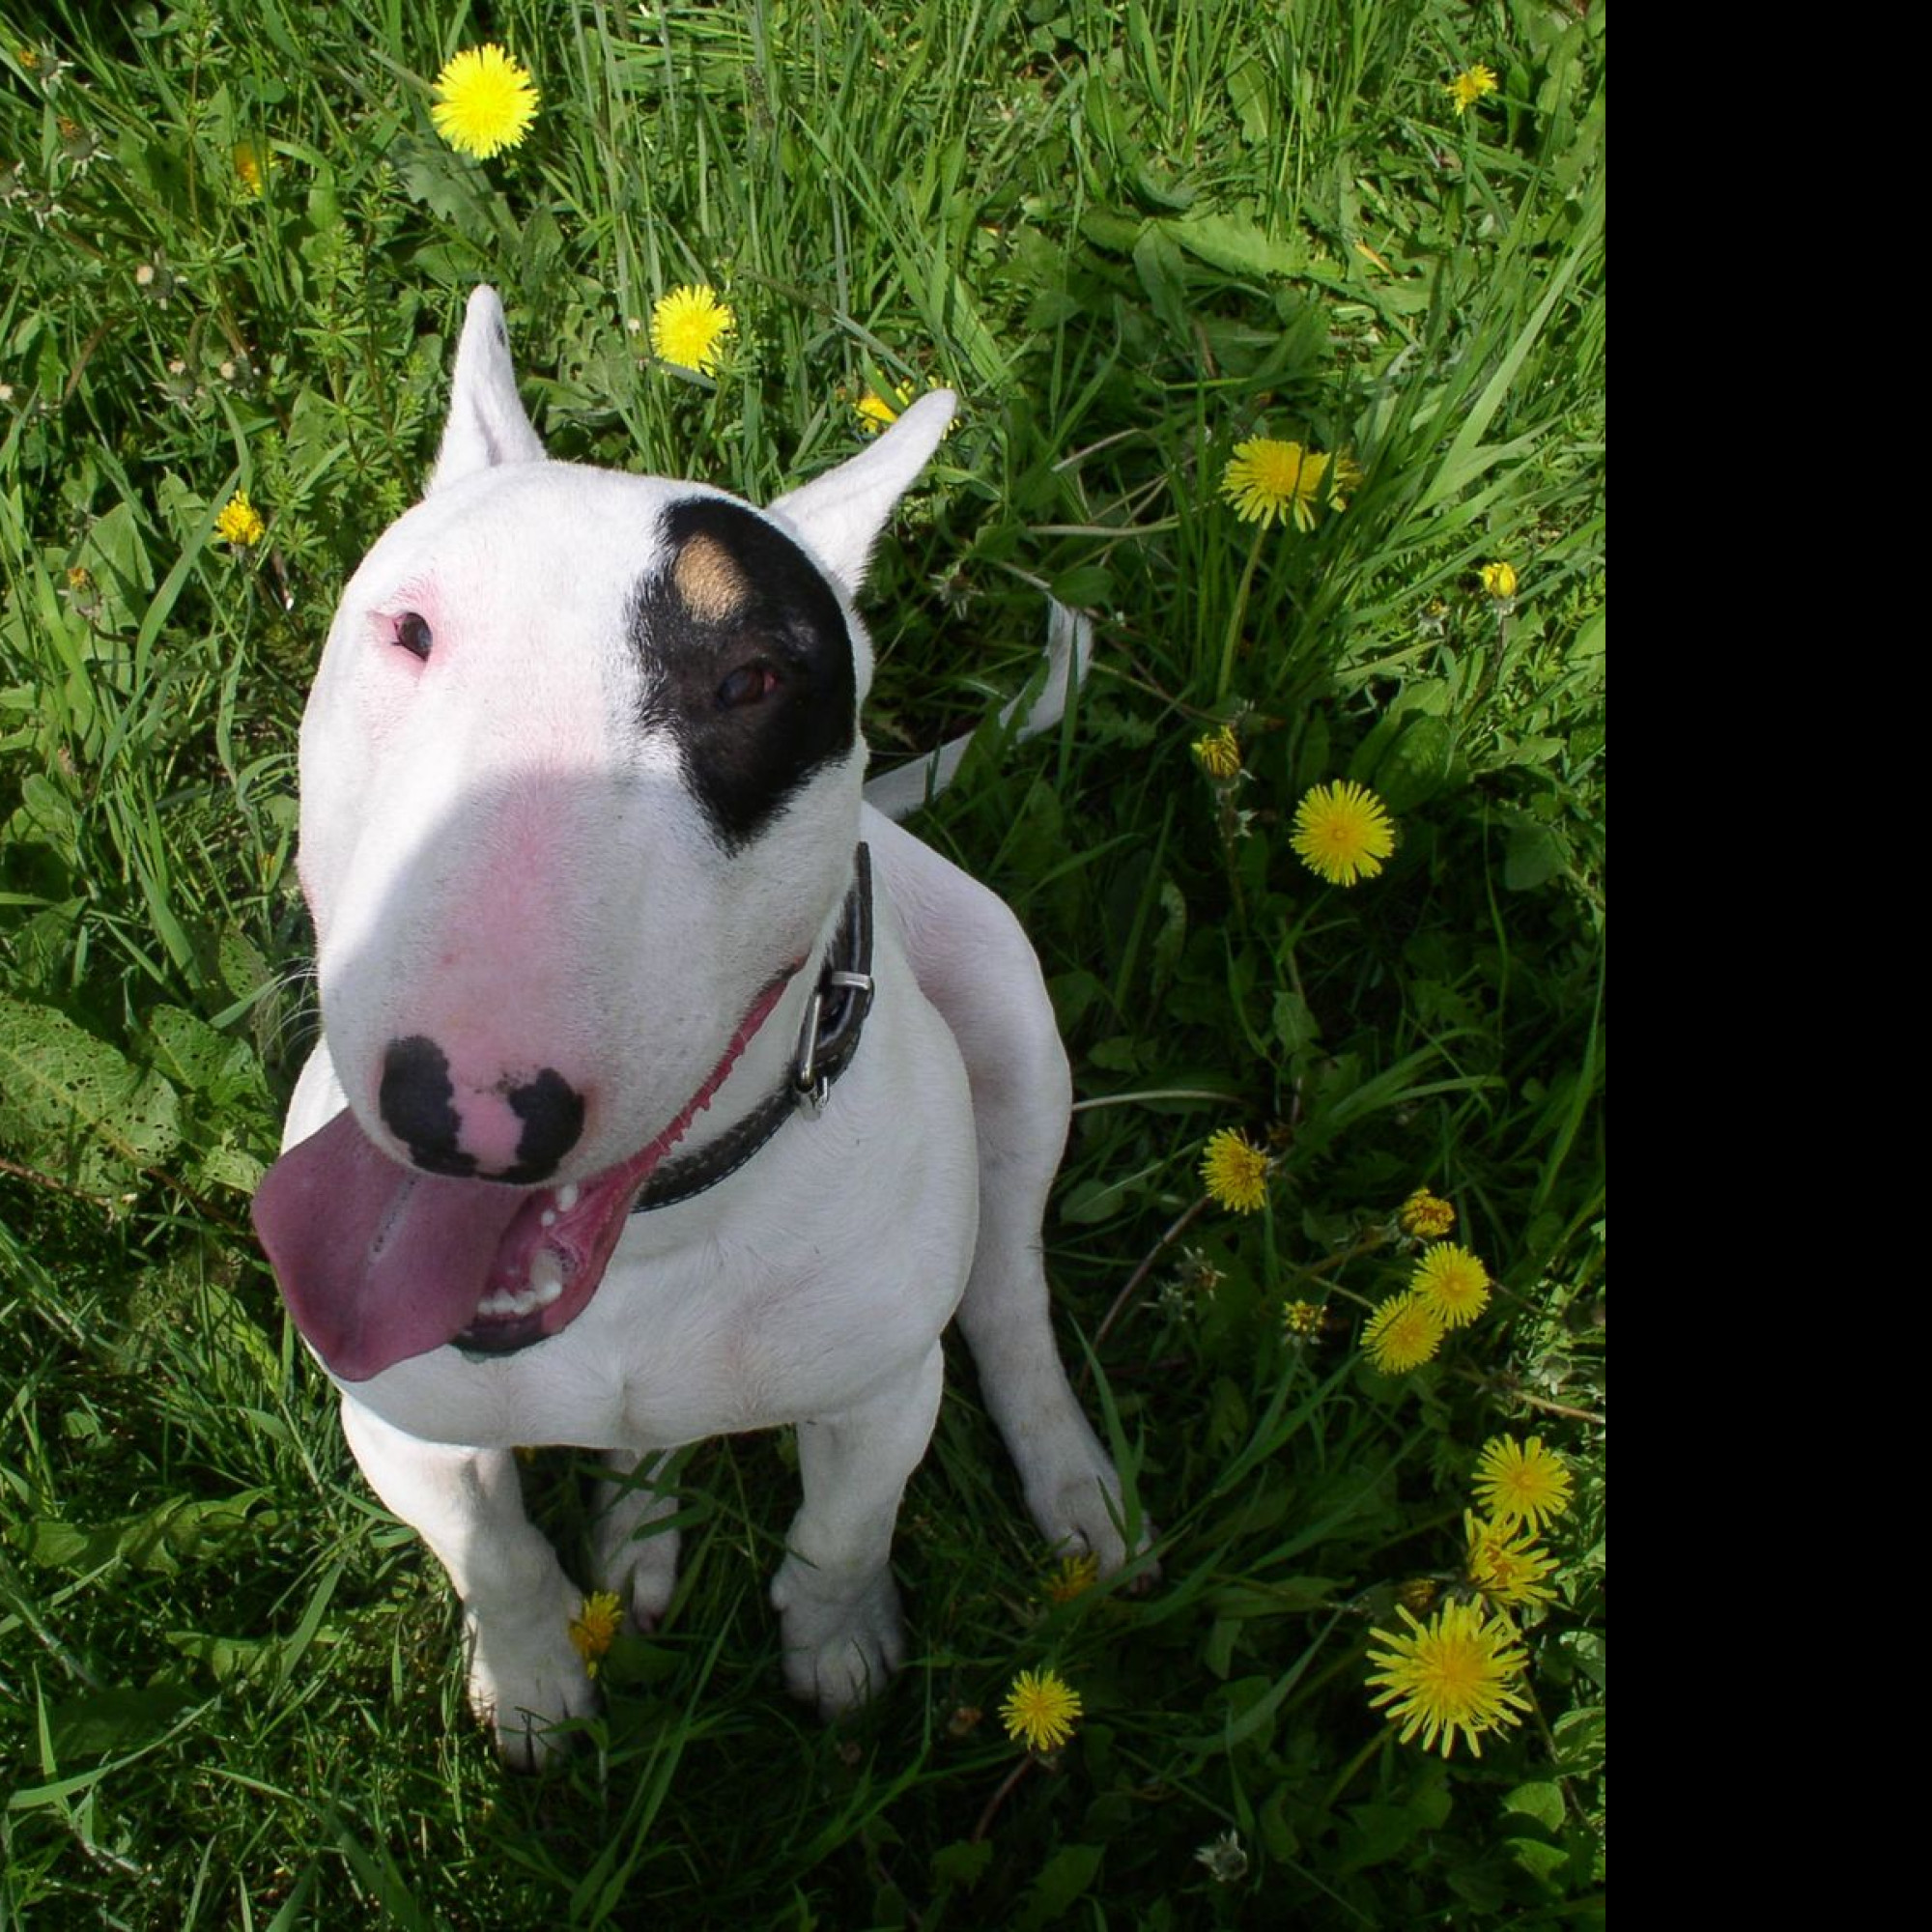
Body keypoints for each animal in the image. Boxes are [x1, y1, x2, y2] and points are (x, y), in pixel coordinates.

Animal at [249, 282, 1136, 1770]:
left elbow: (843, 1529)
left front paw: (840, 1647)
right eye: (410, 630)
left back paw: (1074, 1485)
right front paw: (535, 1686)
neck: (656, 1242)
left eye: (755, 683)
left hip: (1012, 1020)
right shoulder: (398, 1426)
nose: (465, 1114)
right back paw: (638, 1536)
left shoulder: (880, 1395)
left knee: (1008, 1287)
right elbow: (495, 1557)